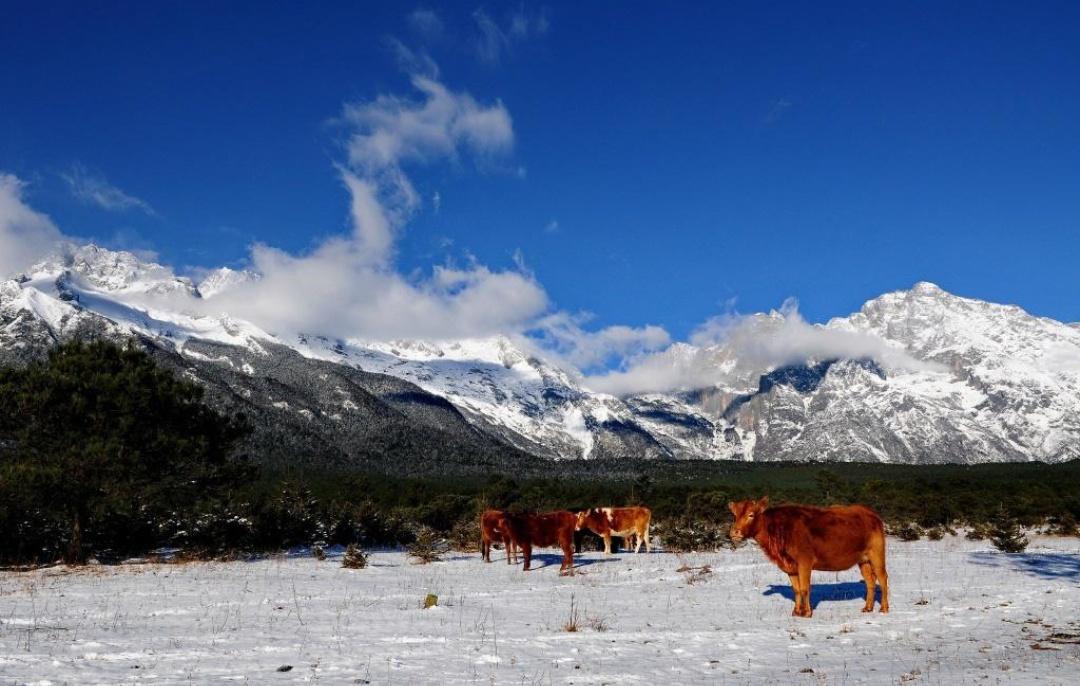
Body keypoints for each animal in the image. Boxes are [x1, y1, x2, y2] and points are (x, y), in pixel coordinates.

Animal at [725, 496, 885, 617]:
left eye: (751, 515)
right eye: (735, 515)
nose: (735, 532)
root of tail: (870, 513)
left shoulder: (805, 562)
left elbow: (804, 588)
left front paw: (807, 613)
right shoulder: (790, 567)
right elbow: (796, 590)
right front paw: (796, 612)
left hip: (877, 554)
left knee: (883, 579)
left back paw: (884, 608)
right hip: (863, 560)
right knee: (870, 582)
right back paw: (868, 608)